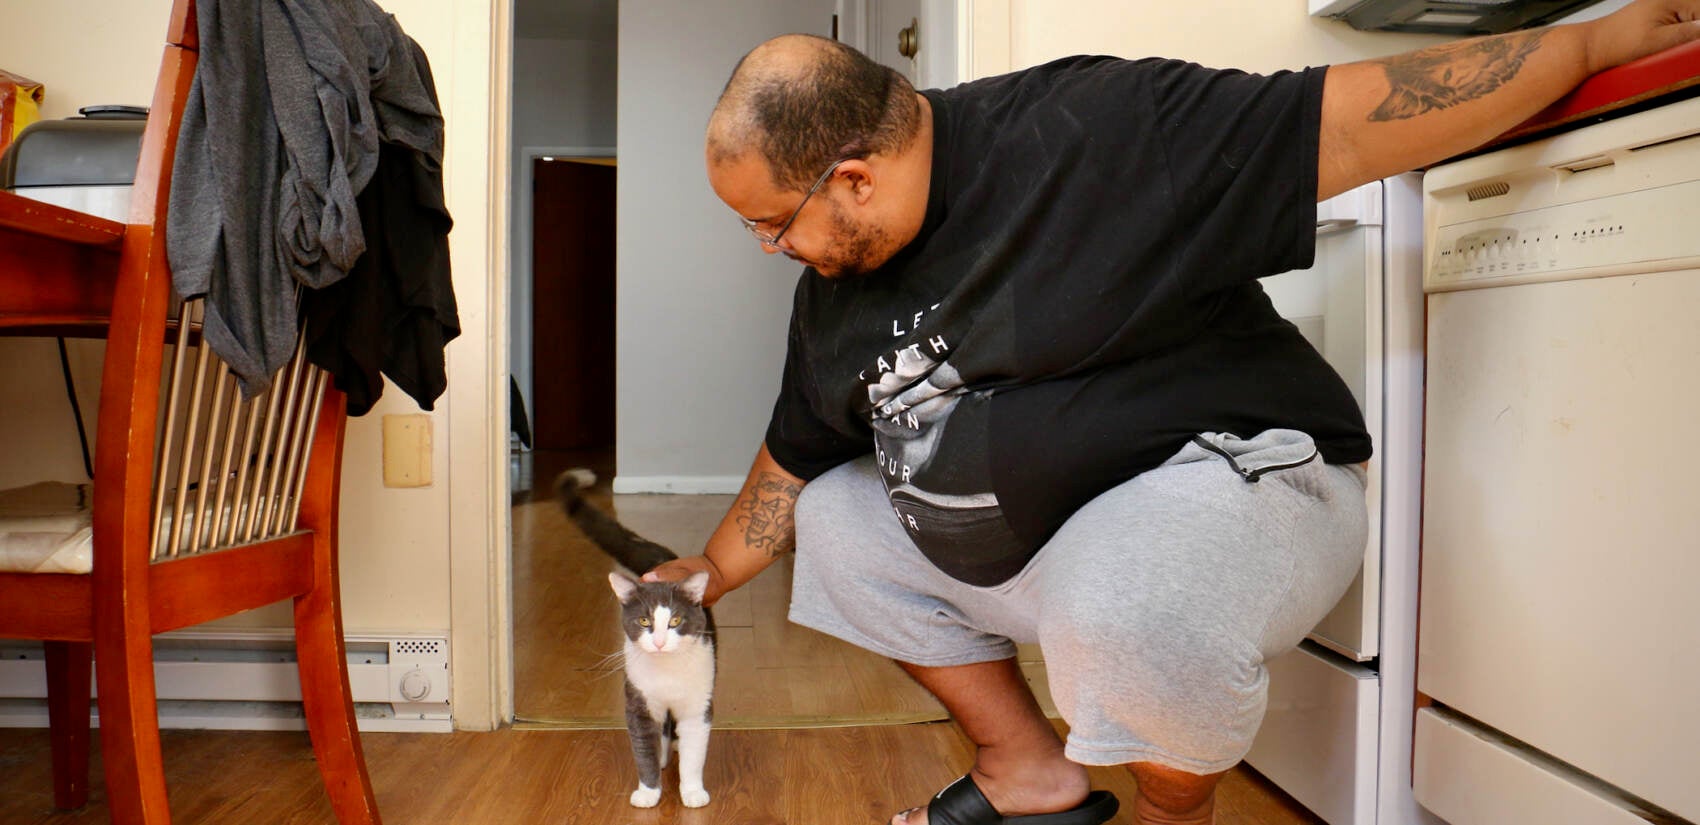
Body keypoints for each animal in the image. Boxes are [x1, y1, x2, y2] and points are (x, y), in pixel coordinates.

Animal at [557, 469, 717, 802]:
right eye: (644, 621)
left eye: (676, 620)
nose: (658, 642)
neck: (667, 673)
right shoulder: (638, 701)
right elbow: (643, 749)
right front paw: (648, 793)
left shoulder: (698, 702)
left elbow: (695, 752)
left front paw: (693, 793)